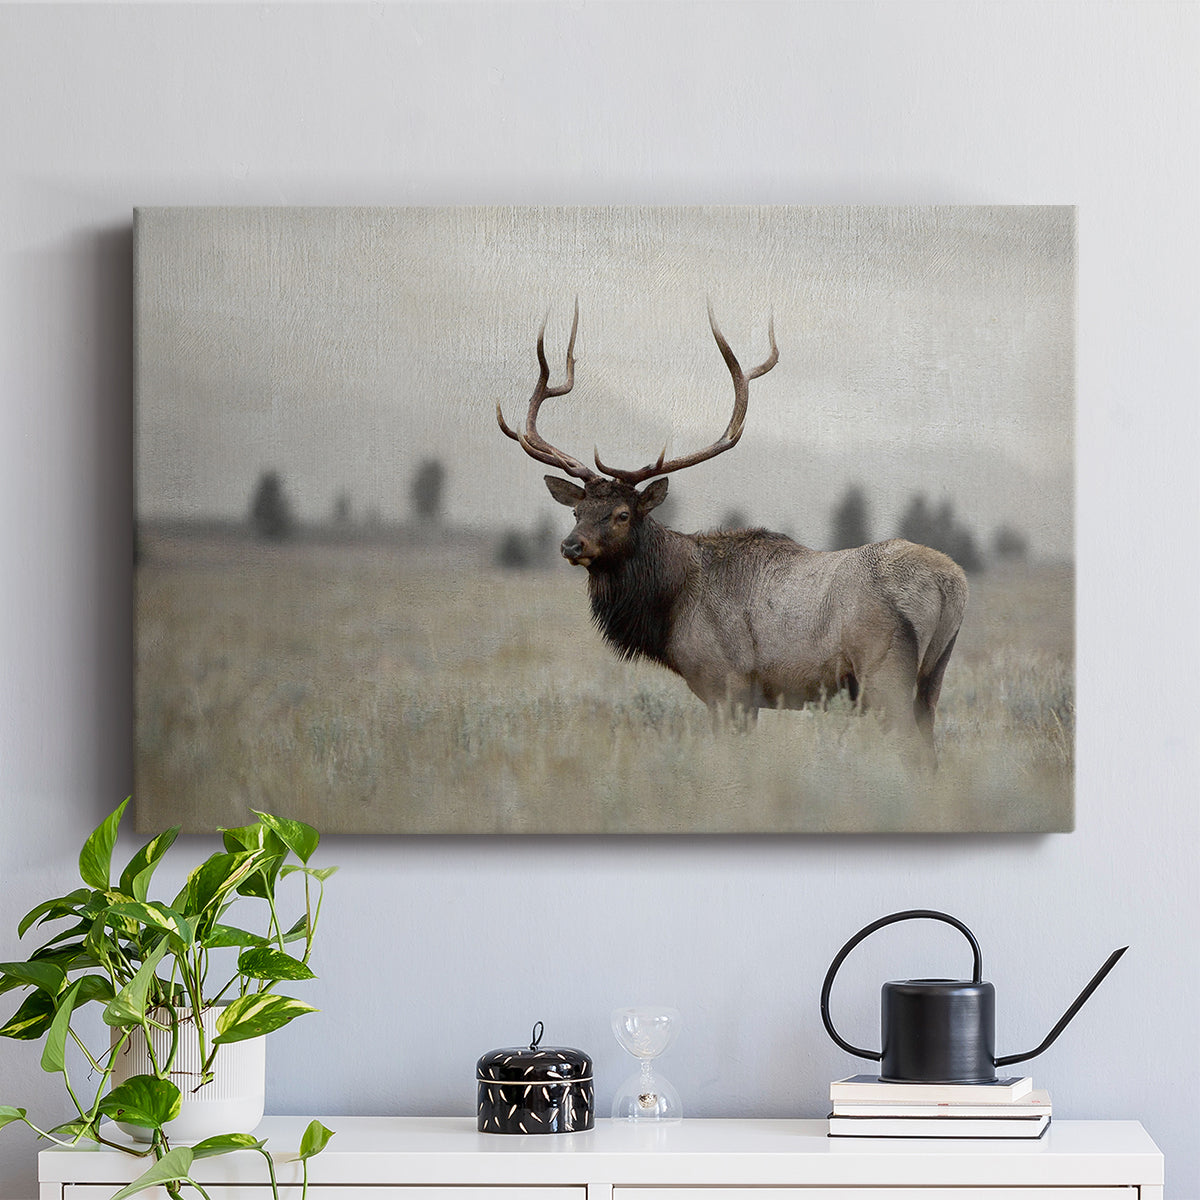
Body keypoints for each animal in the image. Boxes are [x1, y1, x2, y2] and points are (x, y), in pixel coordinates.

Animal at [496, 301, 968, 764]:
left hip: (884, 671)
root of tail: (950, 583)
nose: (570, 545)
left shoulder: (727, 682)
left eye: (622, 514)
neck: (671, 604)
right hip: (933, 675)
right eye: (577, 511)